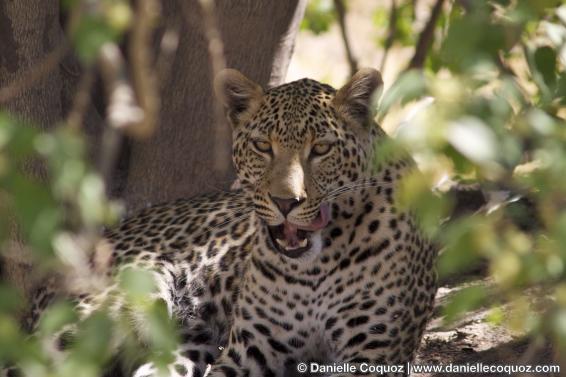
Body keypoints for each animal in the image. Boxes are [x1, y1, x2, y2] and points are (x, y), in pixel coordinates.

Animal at [5, 68, 440, 376]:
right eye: (263, 146)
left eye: (321, 149)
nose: (286, 202)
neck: (315, 267)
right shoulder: (251, 350)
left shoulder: (371, 353)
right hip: (122, 299)